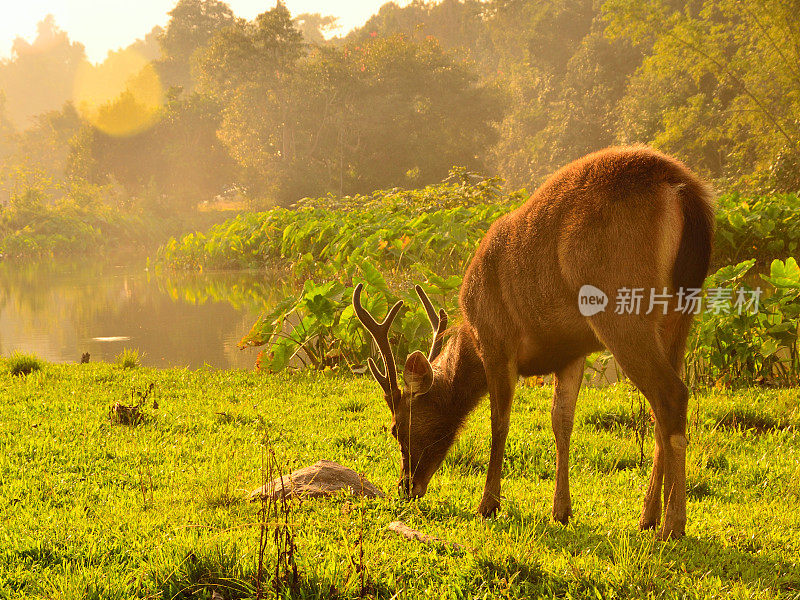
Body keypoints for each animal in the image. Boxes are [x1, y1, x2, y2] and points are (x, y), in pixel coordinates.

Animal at [354, 145, 716, 540]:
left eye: (396, 427)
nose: (406, 487)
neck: (471, 336)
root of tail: (681, 189)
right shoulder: (570, 350)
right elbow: (562, 421)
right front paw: (561, 510)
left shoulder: (498, 342)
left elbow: (499, 421)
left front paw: (488, 504)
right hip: (680, 310)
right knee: (660, 410)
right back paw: (647, 516)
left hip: (621, 302)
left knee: (671, 394)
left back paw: (673, 524)